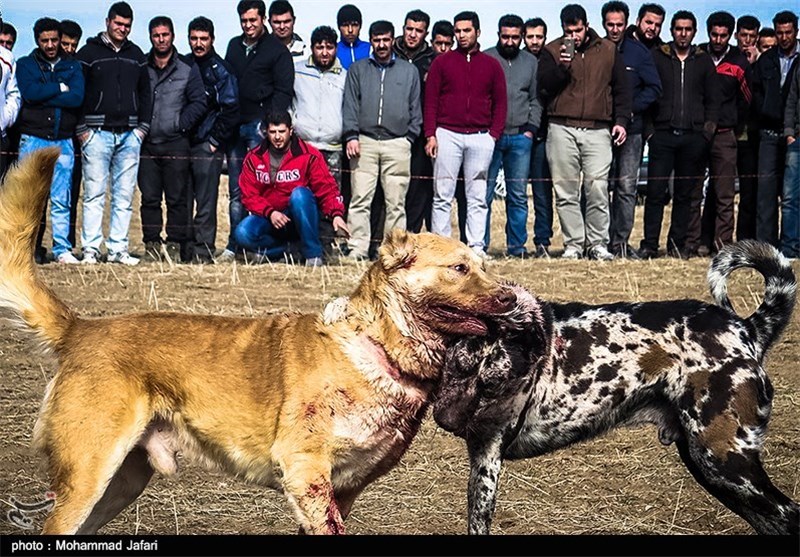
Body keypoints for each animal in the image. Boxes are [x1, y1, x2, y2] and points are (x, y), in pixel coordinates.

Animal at [0, 149, 516, 536]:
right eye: (459, 268)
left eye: (484, 265)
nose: (512, 297)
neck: (373, 345)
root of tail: (80, 329)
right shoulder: (306, 474)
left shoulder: (340, 493)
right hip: (88, 476)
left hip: (120, 483)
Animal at [432, 241, 800, 536]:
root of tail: (745, 328)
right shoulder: (480, 459)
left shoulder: (489, 455)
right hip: (712, 467)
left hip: (725, 462)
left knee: (788, 514)